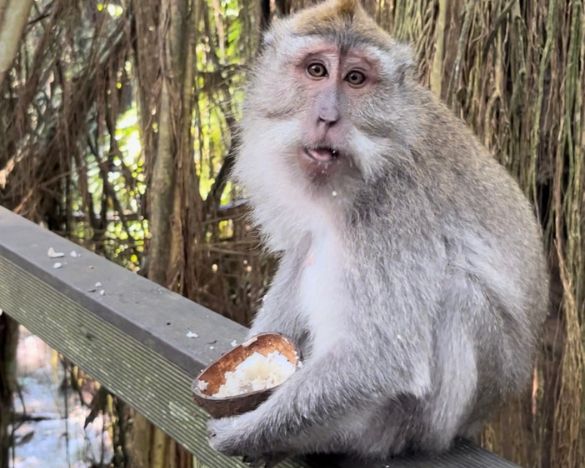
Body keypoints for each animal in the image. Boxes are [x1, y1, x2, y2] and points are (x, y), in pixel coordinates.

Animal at [208, 0, 548, 464]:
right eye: (316, 70)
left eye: (355, 79)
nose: (328, 117)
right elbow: (301, 251)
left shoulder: (394, 206)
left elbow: (384, 358)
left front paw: (244, 432)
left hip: (436, 420)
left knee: (459, 293)